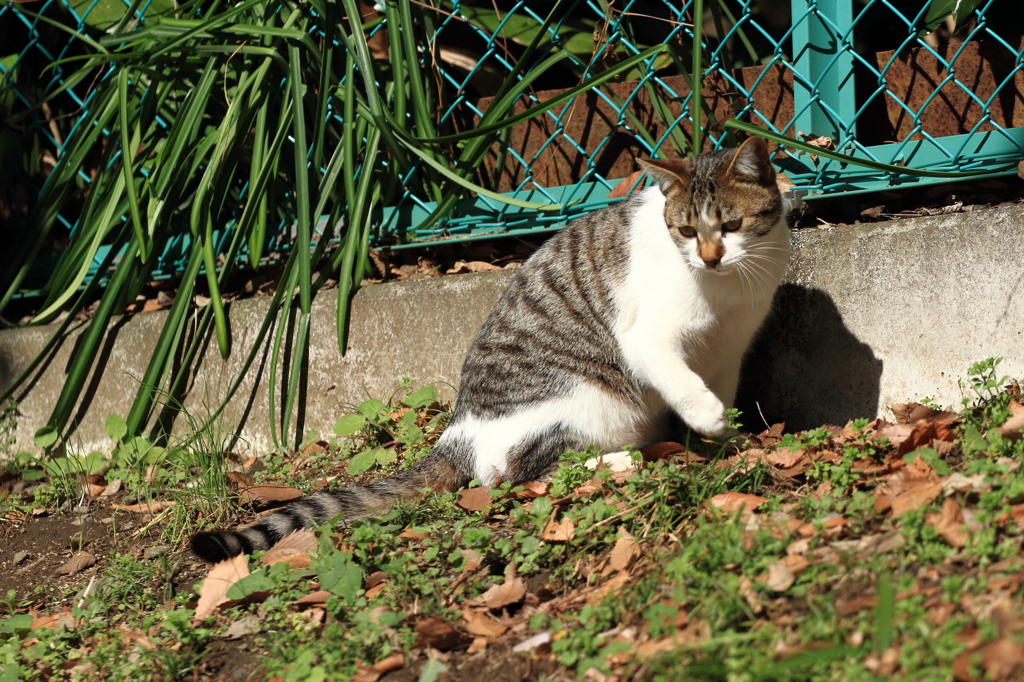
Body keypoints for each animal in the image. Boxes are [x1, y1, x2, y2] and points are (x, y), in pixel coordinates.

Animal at [190, 135, 790, 561]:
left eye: (731, 225)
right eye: (686, 231)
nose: (710, 257)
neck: (727, 291)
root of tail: (456, 428)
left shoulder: (729, 348)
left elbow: (721, 387)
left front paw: (728, 438)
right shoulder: (646, 338)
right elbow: (683, 380)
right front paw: (710, 421)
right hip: (590, 401)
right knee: (513, 472)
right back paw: (623, 461)